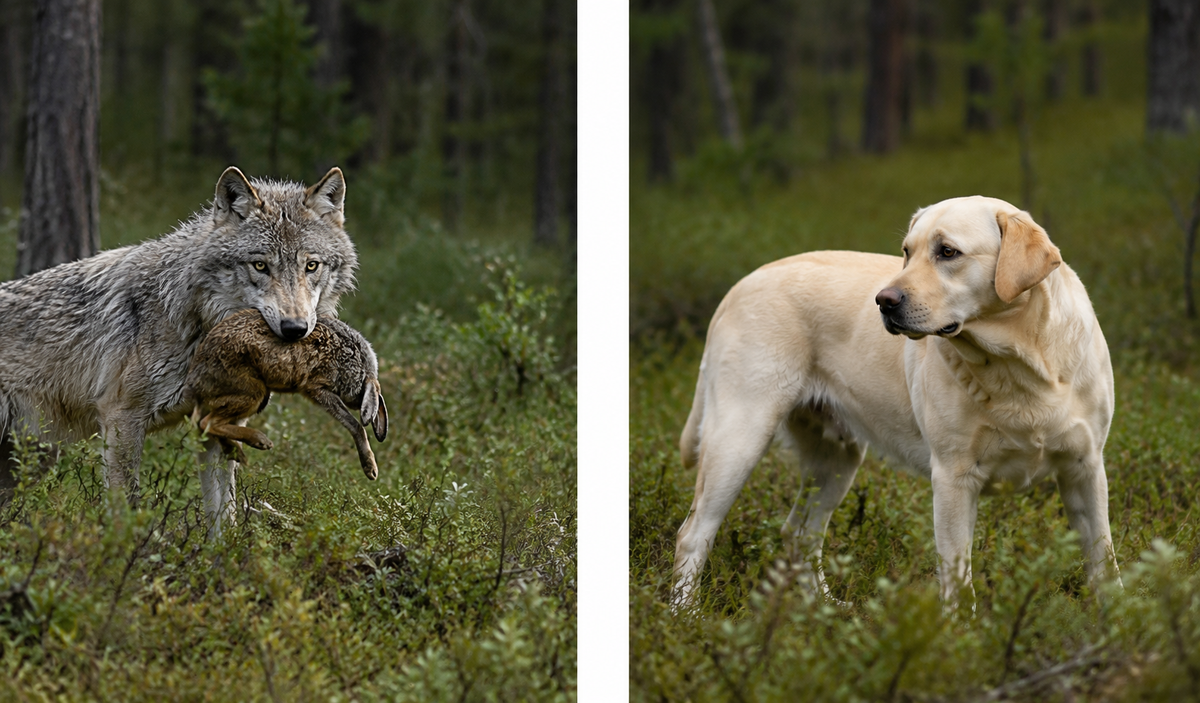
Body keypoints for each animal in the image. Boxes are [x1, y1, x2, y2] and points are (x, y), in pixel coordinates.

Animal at [0, 166, 359, 537]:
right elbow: (126, 513)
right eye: (260, 266)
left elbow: (225, 517)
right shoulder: (121, 418)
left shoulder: (222, 424)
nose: (294, 328)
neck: (197, 325)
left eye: (311, 266)